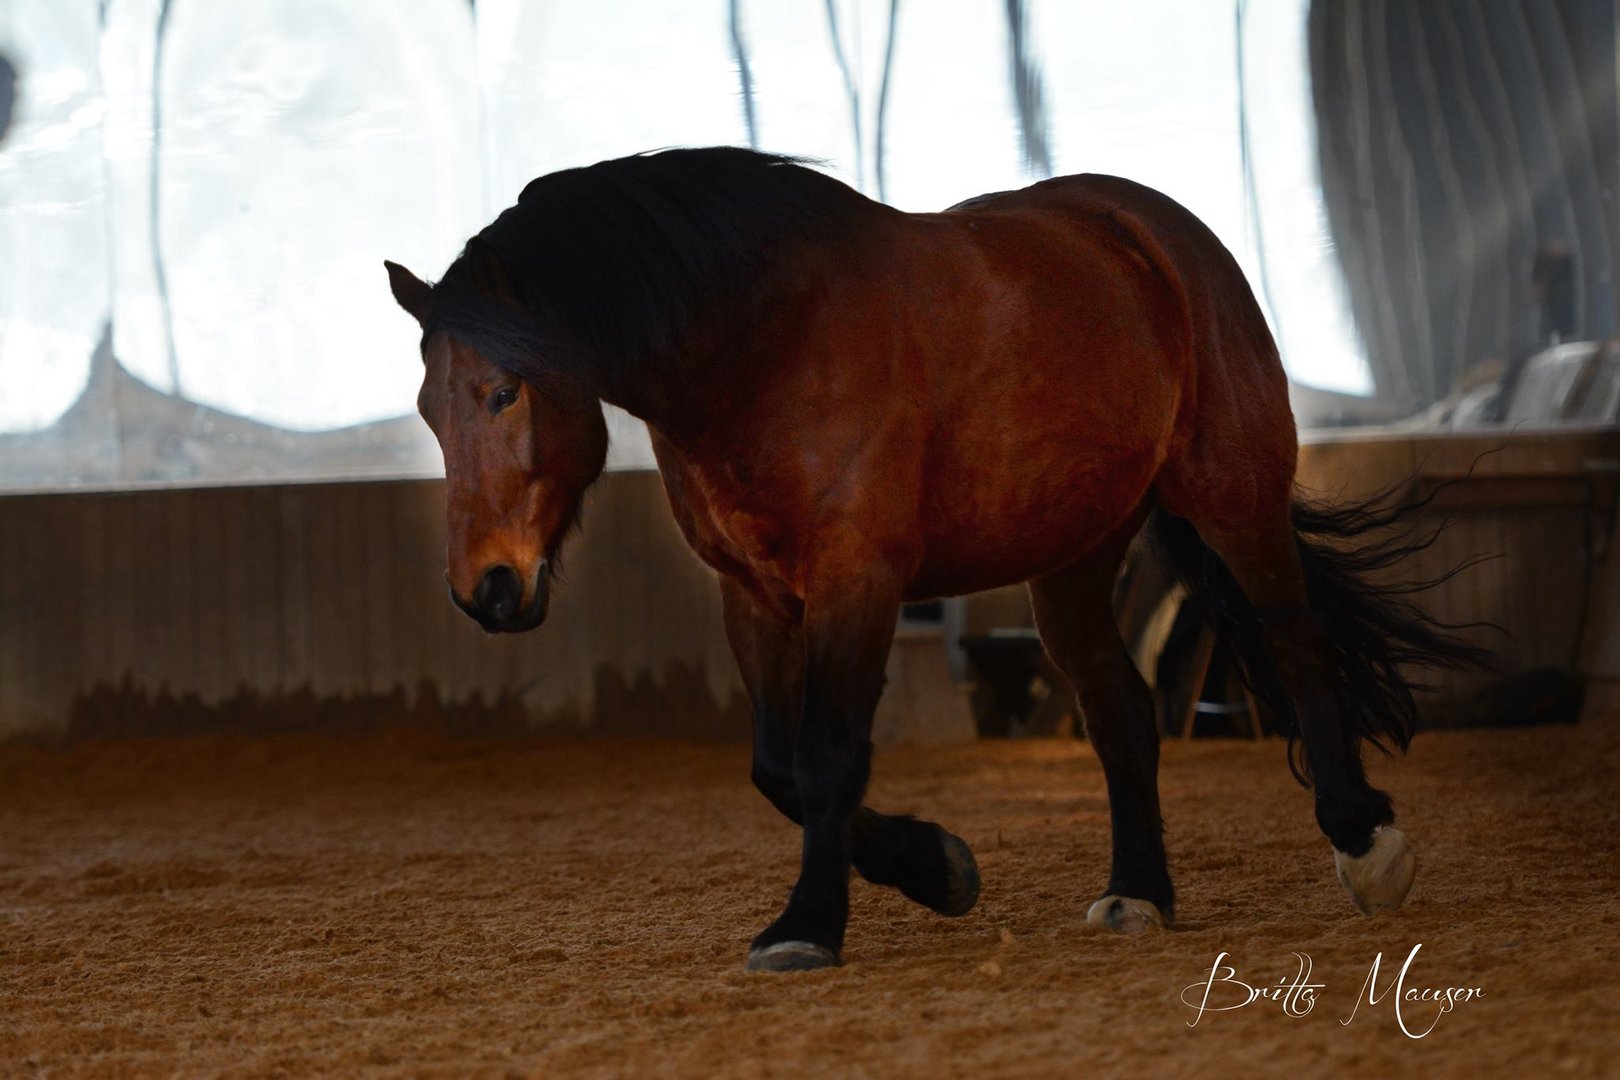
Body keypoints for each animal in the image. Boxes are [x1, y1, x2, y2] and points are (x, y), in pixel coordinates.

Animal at [388, 148, 1483, 977]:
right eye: (430, 410)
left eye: (504, 392)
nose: (486, 588)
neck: (763, 342)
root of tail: (1156, 233)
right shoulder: (754, 597)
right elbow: (776, 766)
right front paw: (939, 867)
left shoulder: (856, 583)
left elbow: (826, 757)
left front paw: (809, 926)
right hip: (1076, 552)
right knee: (1121, 708)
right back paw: (1137, 892)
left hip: (1231, 495)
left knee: (1296, 643)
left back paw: (1366, 843)